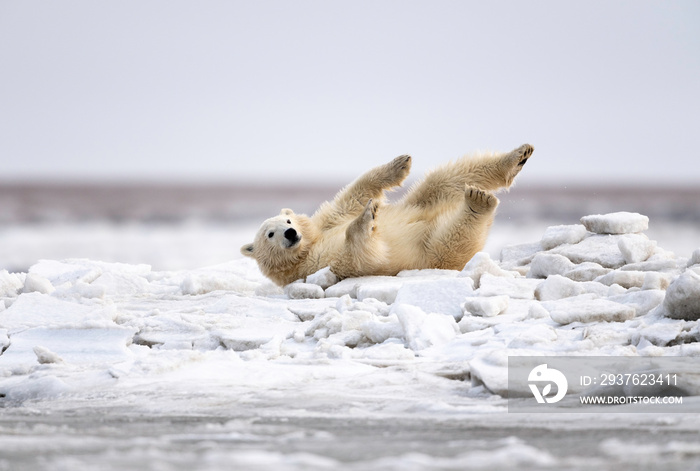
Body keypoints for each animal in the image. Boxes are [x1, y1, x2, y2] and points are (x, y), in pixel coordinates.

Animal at [243, 144, 532, 286]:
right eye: (270, 234)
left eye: (288, 220)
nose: (291, 233)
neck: (307, 247)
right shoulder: (309, 269)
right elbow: (354, 256)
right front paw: (366, 218)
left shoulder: (325, 222)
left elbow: (354, 196)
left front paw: (398, 165)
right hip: (433, 254)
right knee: (452, 237)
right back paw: (479, 201)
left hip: (423, 203)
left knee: (446, 179)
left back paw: (518, 156)